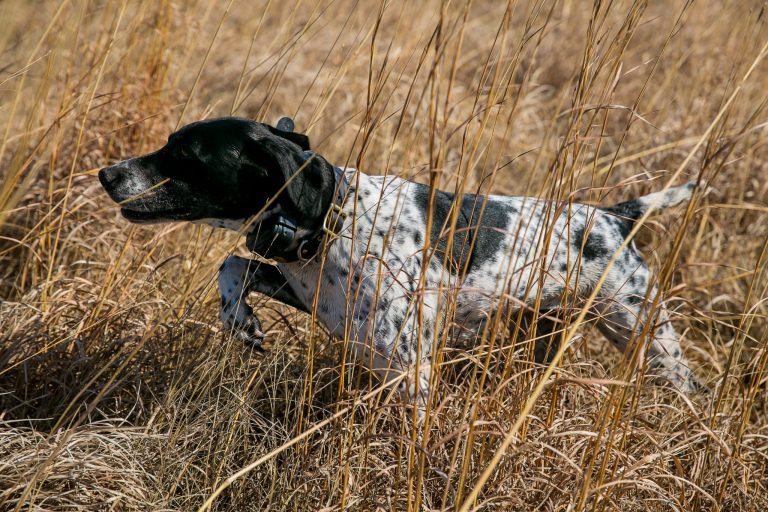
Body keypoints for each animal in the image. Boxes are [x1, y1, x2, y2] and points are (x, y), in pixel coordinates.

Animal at [99, 117, 704, 416]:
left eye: (184, 154)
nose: (107, 173)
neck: (335, 218)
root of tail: (613, 216)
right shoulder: (308, 292)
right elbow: (232, 264)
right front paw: (240, 321)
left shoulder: (411, 372)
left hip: (647, 336)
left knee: (690, 388)